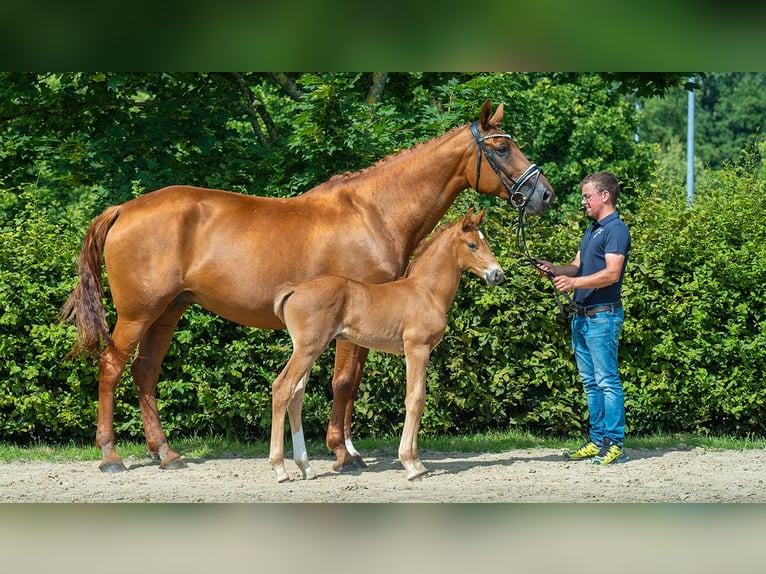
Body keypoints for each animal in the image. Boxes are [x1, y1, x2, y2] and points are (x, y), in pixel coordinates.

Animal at [270, 209, 504, 484]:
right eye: (472, 245)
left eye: (484, 241)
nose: (497, 274)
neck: (426, 292)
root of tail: (295, 289)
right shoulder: (417, 350)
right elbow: (415, 399)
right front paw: (412, 465)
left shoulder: (421, 352)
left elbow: (419, 399)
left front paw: (416, 462)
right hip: (308, 349)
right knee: (282, 388)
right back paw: (280, 469)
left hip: (308, 349)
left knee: (296, 395)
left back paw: (306, 467)